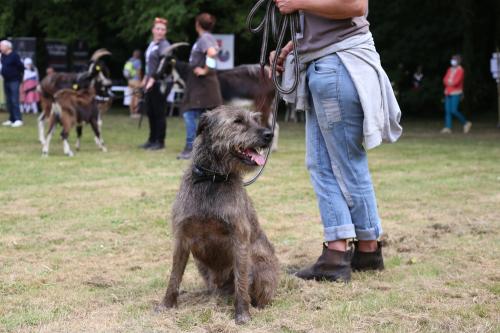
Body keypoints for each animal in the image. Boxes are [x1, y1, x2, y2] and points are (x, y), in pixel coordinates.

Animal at [157, 105, 280, 322]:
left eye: (255, 119)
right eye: (238, 121)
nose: (269, 135)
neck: (213, 179)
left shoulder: (239, 239)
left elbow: (241, 281)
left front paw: (242, 314)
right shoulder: (182, 238)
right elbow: (174, 276)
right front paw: (167, 304)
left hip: (259, 263)